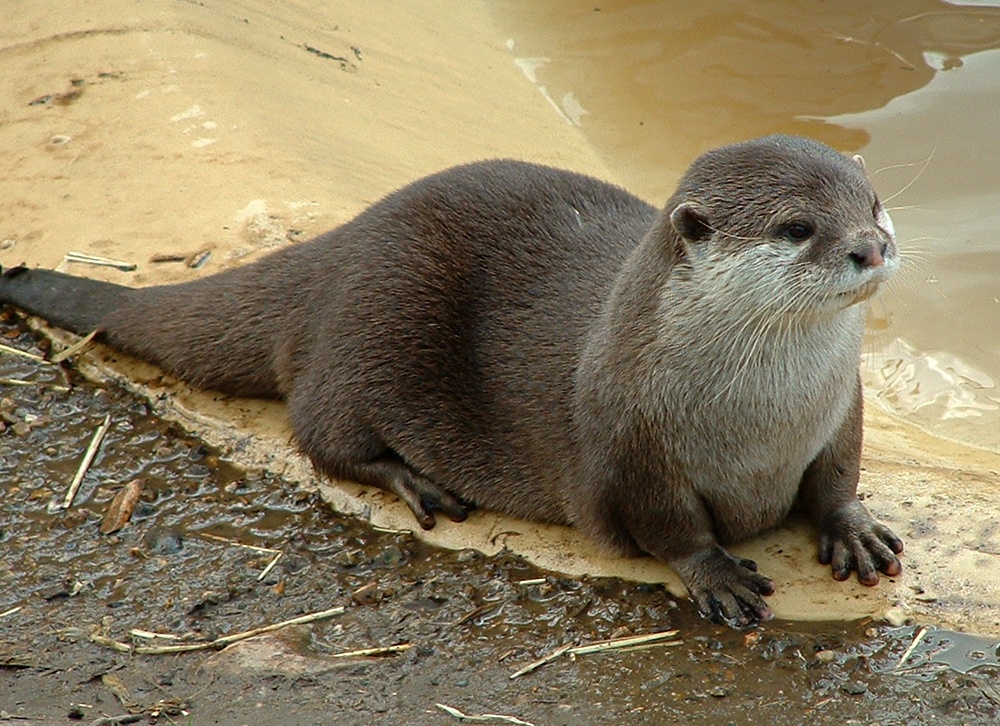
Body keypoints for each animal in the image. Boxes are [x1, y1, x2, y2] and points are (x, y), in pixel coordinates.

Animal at [0, 135, 903, 625]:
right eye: (797, 227)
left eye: (873, 201)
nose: (873, 246)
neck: (763, 419)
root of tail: (345, 241)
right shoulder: (626, 440)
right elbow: (669, 525)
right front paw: (715, 573)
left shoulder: (841, 408)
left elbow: (837, 475)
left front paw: (854, 528)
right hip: (369, 328)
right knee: (318, 432)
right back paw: (414, 480)